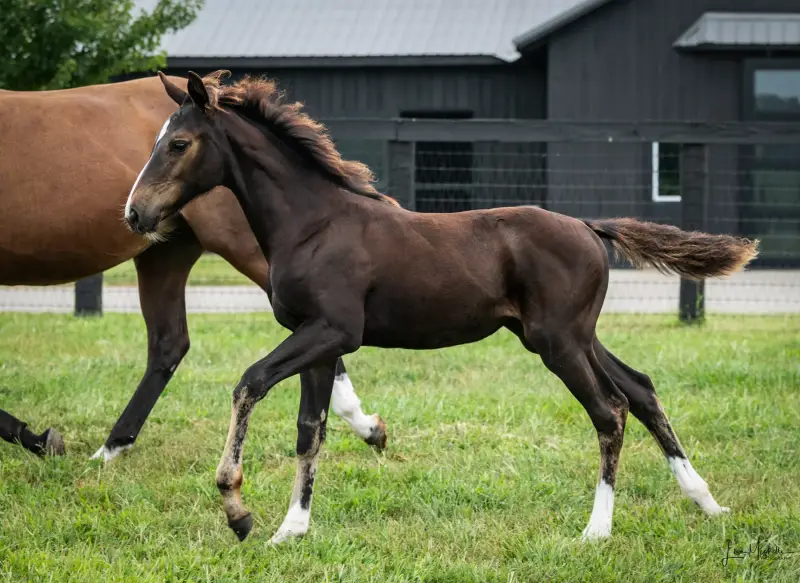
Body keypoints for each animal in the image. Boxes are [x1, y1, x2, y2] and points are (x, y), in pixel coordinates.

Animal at [0, 76, 387, 459]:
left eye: (179, 144)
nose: (132, 211)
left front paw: (39, 438)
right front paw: (40, 438)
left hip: (247, 254)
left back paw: (366, 426)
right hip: (165, 254)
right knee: (169, 344)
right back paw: (112, 447)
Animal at [125, 70, 758, 544]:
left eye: (178, 144)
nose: (134, 214)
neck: (313, 224)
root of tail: (586, 225)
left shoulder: (333, 330)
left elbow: (249, 383)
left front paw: (237, 509)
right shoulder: (317, 339)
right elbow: (311, 429)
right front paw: (290, 529)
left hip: (558, 342)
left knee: (610, 410)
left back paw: (597, 531)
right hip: (571, 335)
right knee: (642, 391)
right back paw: (707, 502)